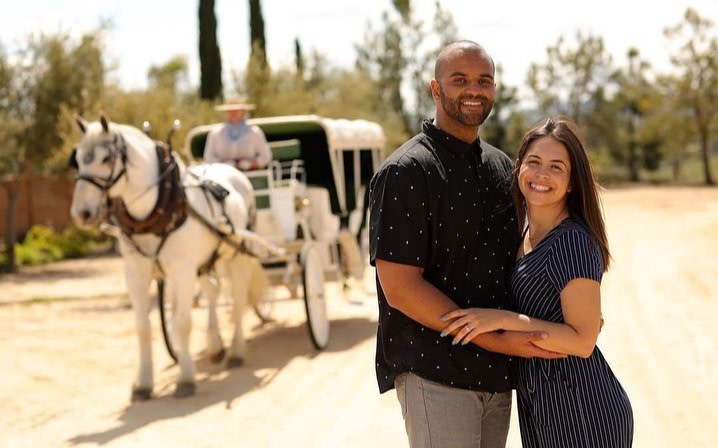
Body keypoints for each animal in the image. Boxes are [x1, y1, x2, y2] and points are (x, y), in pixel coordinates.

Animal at [69, 115, 283, 400]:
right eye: (78, 158)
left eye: (106, 159)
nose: (81, 213)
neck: (158, 207)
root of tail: (235, 172)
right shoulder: (136, 274)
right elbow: (143, 327)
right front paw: (143, 383)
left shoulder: (182, 270)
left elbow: (182, 323)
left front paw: (185, 378)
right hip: (203, 262)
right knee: (213, 292)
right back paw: (215, 345)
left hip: (237, 255)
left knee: (238, 301)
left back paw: (236, 352)